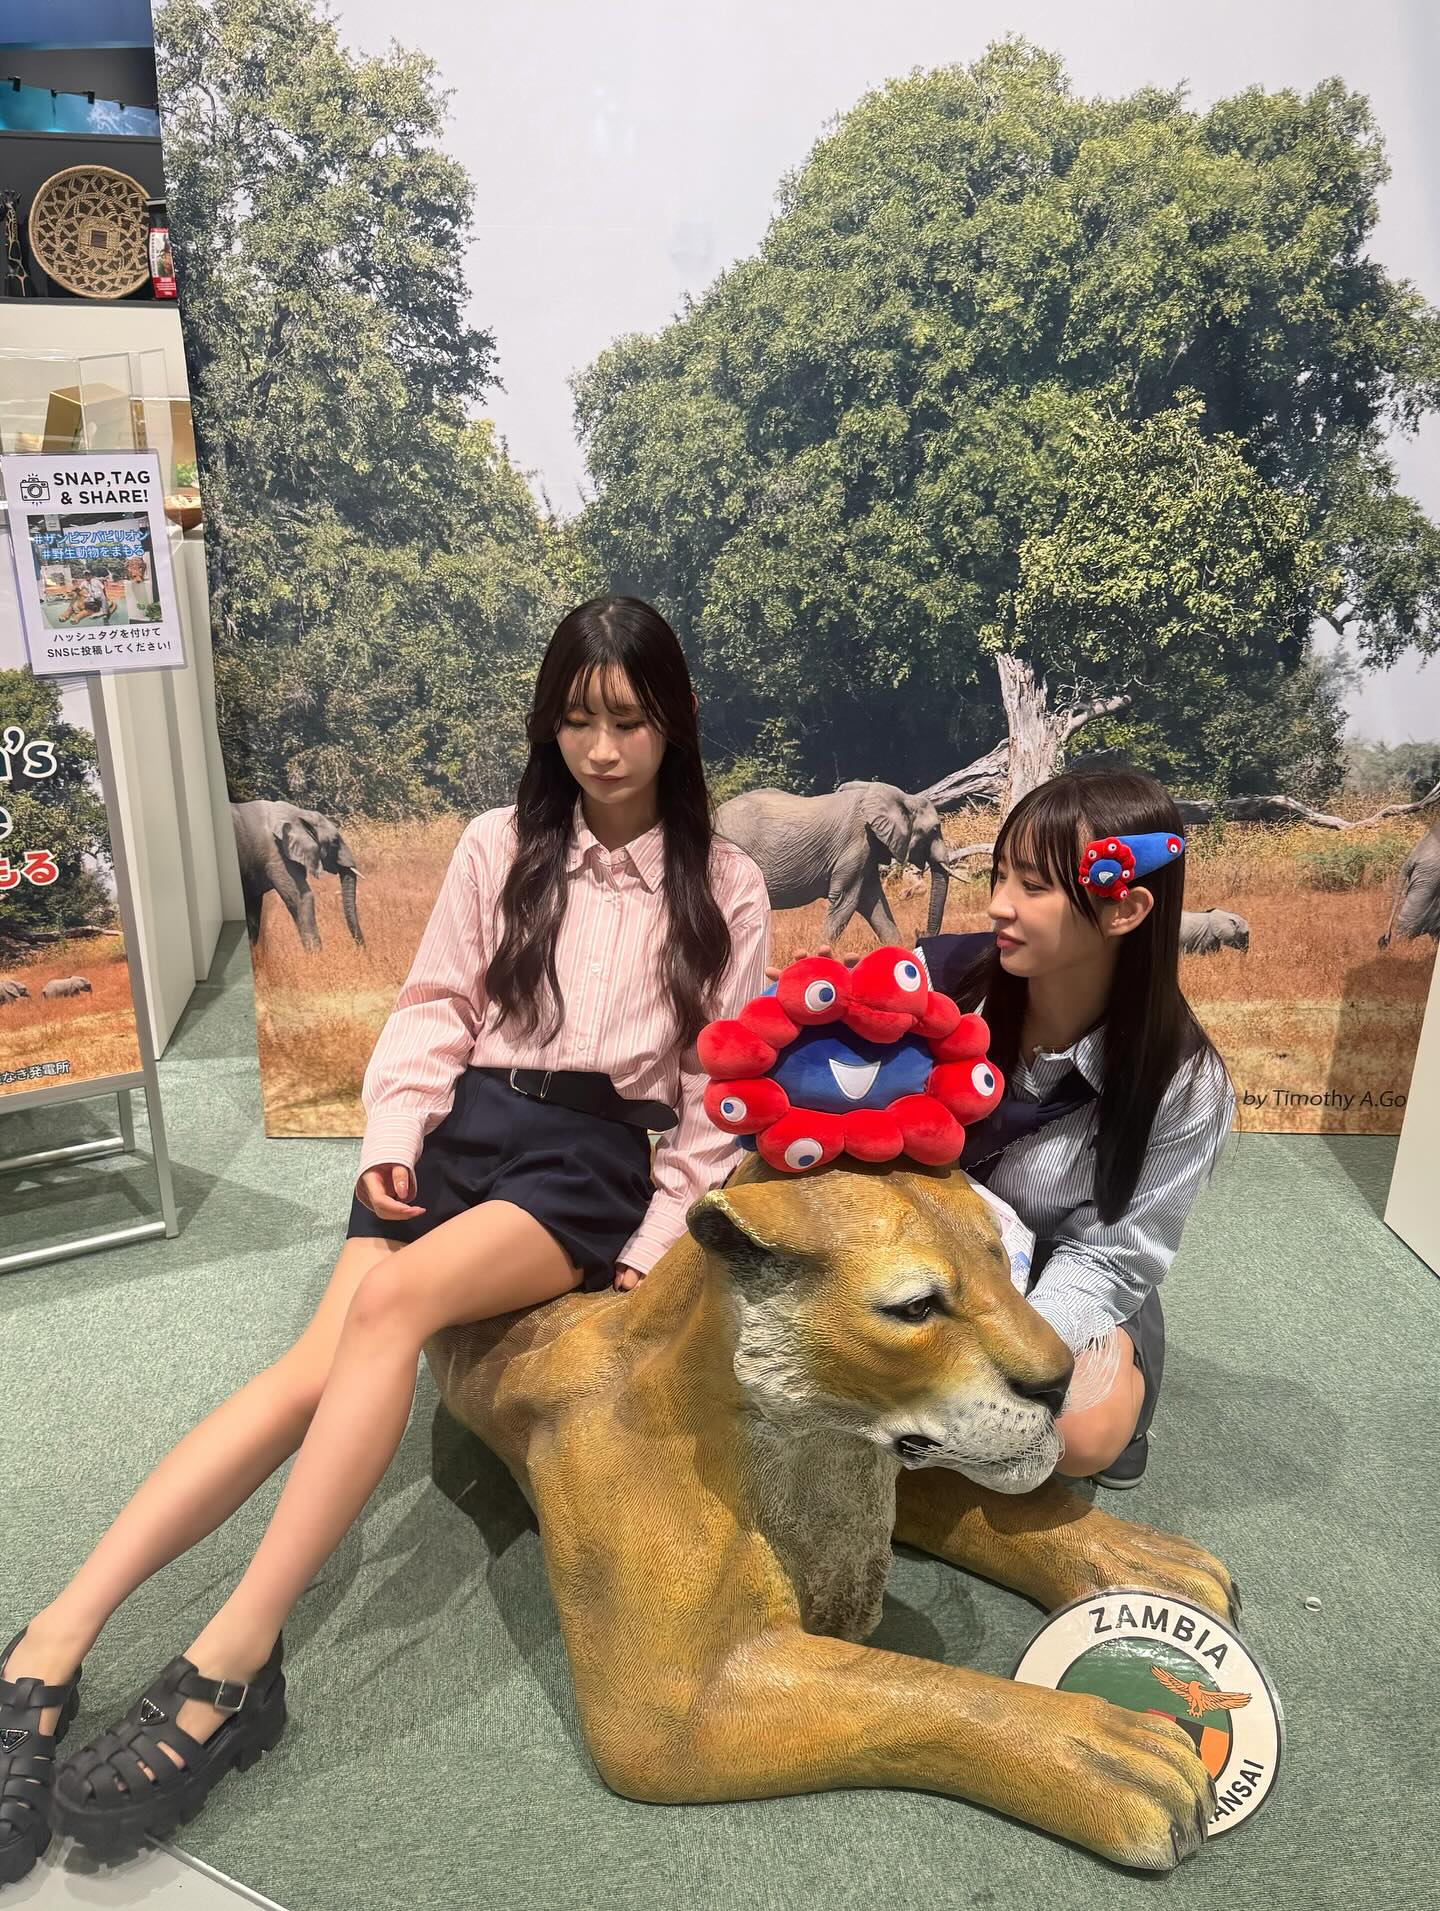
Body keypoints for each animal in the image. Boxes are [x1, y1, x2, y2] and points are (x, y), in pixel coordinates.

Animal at [230, 800, 364, 953]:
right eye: (335, 842)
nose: (361, 952)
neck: (299, 814)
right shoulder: (277, 854)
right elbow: (302, 898)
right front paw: (316, 956)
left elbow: (253, 908)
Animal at [716, 782, 963, 944]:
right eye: (935, 830)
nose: (920, 934)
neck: (902, 796)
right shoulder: (856, 843)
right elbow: (847, 900)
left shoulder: (867, 851)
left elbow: (872, 901)